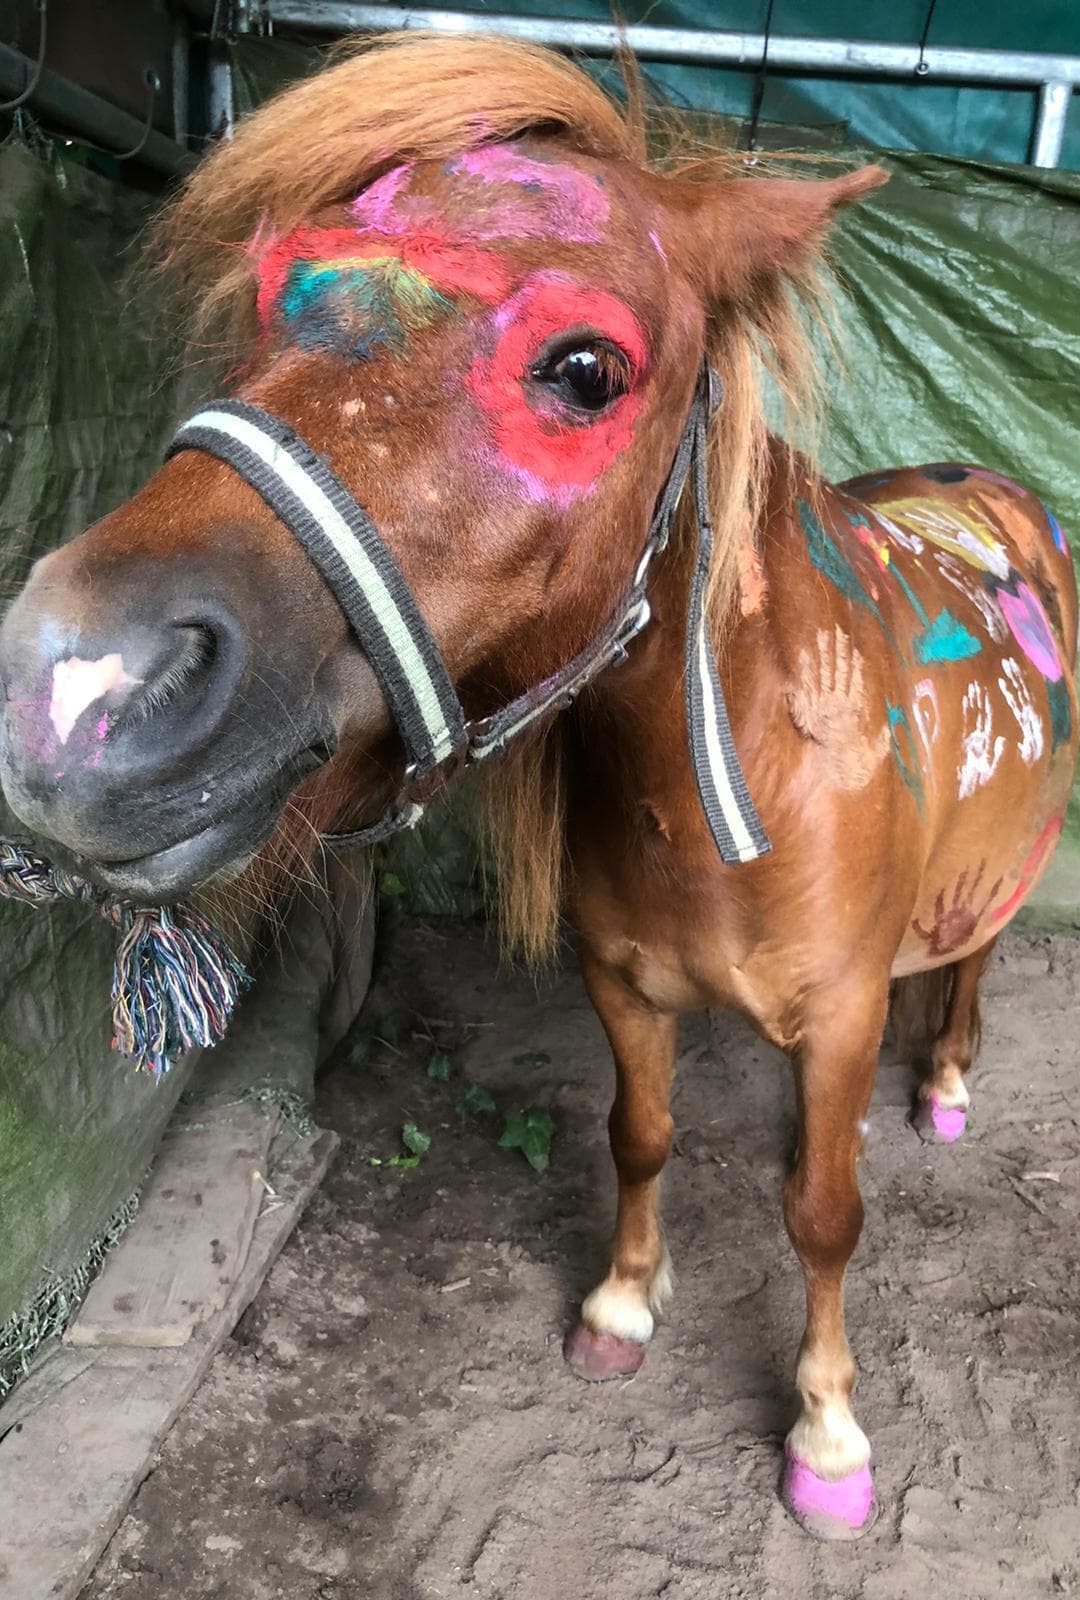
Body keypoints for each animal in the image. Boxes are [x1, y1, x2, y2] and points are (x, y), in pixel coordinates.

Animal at [0, 34, 1075, 1542]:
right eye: (270, 303)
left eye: (583, 368)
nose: (73, 683)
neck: (732, 780)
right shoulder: (621, 983)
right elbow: (641, 1135)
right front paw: (623, 1304)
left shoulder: (847, 1015)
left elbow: (823, 1213)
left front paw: (828, 1435)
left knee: (970, 964)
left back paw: (951, 1084)